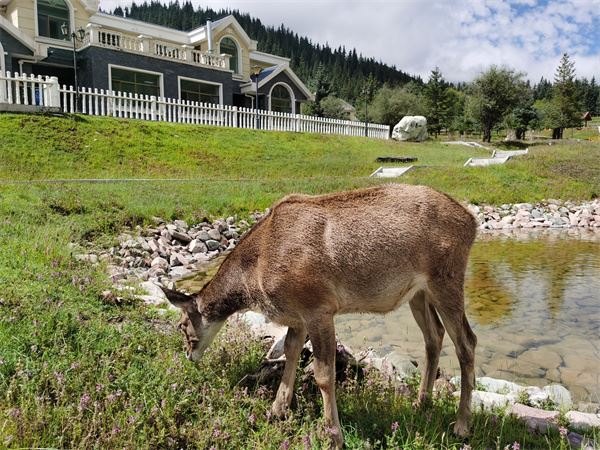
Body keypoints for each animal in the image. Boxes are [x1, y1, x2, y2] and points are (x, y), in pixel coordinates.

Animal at [161, 185, 478, 448]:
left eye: (182, 325)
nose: (189, 355)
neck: (257, 275)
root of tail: (472, 223)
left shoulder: (319, 307)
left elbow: (323, 375)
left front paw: (334, 435)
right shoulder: (298, 316)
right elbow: (290, 351)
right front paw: (277, 410)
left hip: (446, 278)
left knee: (467, 341)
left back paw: (462, 425)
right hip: (418, 292)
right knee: (434, 336)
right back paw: (421, 403)